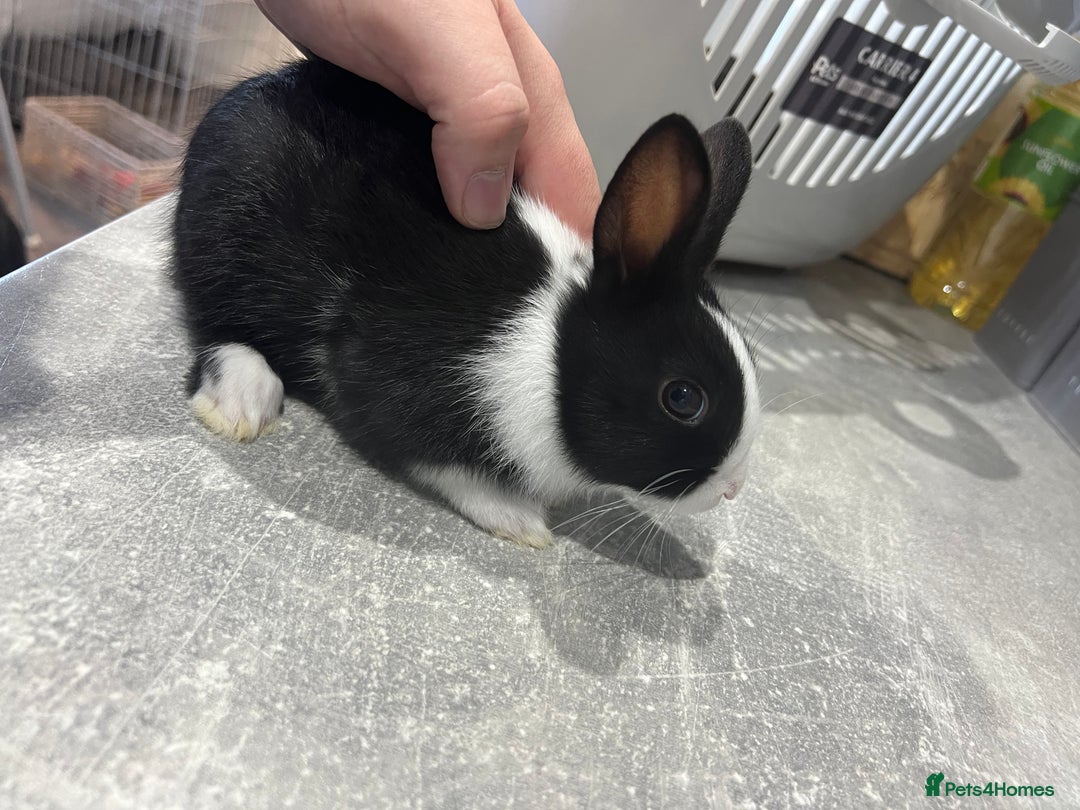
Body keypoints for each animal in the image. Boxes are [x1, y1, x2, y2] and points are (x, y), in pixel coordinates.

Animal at [172, 57, 760, 549]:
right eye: (683, 398)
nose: (734, 488)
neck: (549, 352)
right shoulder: (384, 384)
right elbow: (445, 465)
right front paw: (520, 522)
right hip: (226, 243)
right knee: (214, 322)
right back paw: (241, 400)